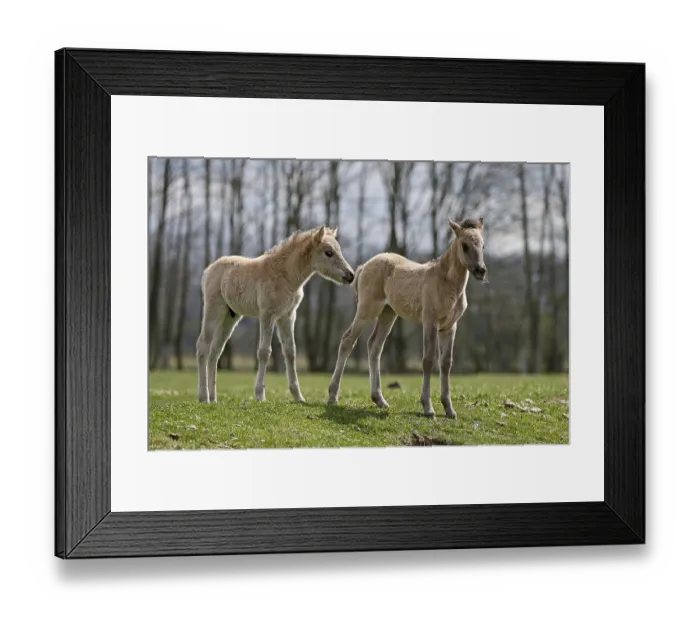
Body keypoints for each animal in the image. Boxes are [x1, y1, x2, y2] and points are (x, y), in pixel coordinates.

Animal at [197, 225, 355, 404]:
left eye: (338, 250)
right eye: (329, 252)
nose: (351, 275)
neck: (285, 275)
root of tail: (209, 269)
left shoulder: (287, 316)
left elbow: (290, 352)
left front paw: (298, 396)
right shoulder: (267, 314)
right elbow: (264, 352)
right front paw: (260, 395)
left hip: (230, 317)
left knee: (215, 352)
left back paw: (213, 398)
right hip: (214, 310)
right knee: (203, 346)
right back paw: (203, 397)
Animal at [328, 217, 487, 419]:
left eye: (483, 245)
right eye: (464, 246)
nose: (481, 270)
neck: (446, 282)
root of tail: (363, 267)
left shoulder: (450, 327)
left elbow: (446, 363)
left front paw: (449, 409)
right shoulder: (430, 322)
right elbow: (428, 360)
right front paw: (428, 408)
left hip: (388, 313)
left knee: (374, 346)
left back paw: (379, 400)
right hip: (367, 309)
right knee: (348, 340)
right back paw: (333, 396)